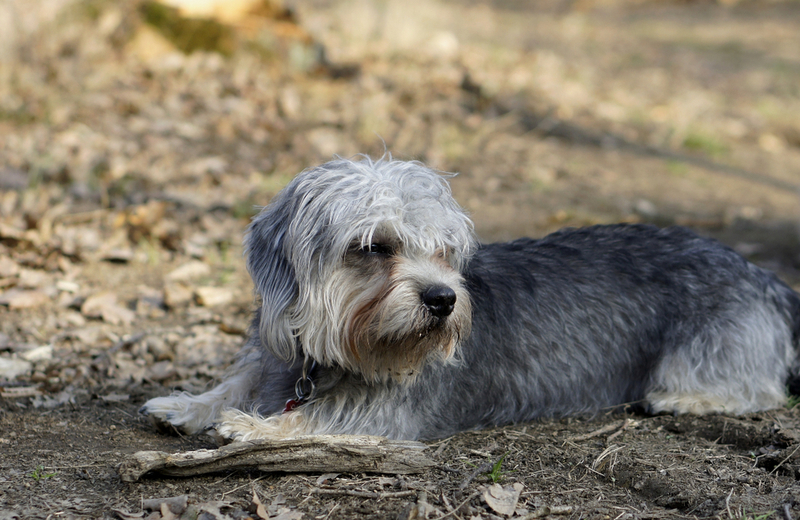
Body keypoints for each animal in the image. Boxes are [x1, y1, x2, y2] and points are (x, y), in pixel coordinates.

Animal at [141, 156, 800, 440]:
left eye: (444, 251)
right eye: (373, 246)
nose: (442, 301)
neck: (336, 355)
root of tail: (758, 272)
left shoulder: (392, 412)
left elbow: (320, 416)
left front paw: (249, 426)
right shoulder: (275, 357)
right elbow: (237, 381)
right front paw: (188, 404)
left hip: (711, 349)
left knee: (759, 388)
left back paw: (684, 400)